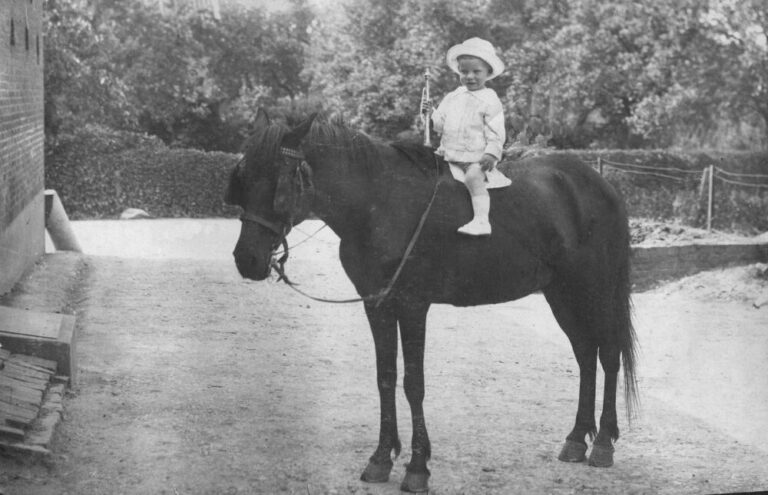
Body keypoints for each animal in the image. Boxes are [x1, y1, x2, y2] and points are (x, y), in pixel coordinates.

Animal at [225, 109, 638, 492]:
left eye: (279, 180)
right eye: (242, 177)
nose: (247, 259)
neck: (378, 202)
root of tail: (600, 184)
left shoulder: (412, 306)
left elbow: (414, 383)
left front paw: (417, 467)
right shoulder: (377, 305)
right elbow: (386, 377)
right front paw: (381, 459)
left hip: (595, 291)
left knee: (607, 354)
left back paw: (603, 443)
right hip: (562, 293)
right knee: (585, 355)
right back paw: (576, 439)